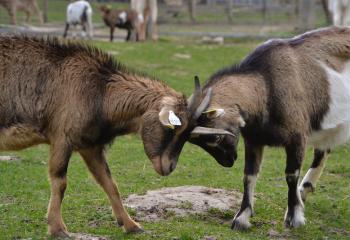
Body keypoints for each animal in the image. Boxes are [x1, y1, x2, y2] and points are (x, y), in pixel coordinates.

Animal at [0, 36, 232, 237]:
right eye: (173, 128)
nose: (168, 167)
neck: (101, 92)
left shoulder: (90, 145)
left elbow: (110, 183)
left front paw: (131, 225)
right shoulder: (62, 137)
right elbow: (60, 181)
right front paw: (58, 229)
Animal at [189, 26, 350, 231]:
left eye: (215, 138)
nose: (228, 161)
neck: (266, 84)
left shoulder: (297, 137)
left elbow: (291, 175)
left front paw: (294, 218)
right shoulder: (254, 140)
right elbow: (249, 175)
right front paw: (241, 218)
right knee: (322, 150)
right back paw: (304, 191)